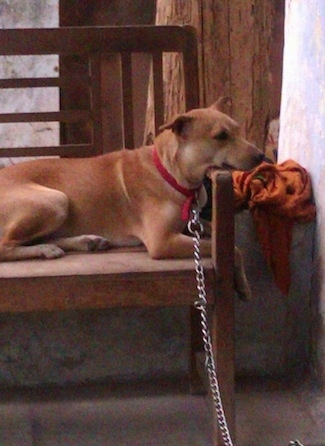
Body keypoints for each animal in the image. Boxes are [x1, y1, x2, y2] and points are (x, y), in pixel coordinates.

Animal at [0, 99, 264, 296]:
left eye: (237, 130)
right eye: (221, 136)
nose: (261, 155)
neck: (171, 172)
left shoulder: (193, 224)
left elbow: (228, 242)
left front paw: (242, 283)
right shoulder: (162, 242)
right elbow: (231, 249)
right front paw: (242, 284)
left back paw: (85, 241)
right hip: (56, 201)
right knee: (5, 246)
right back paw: (46, 249)